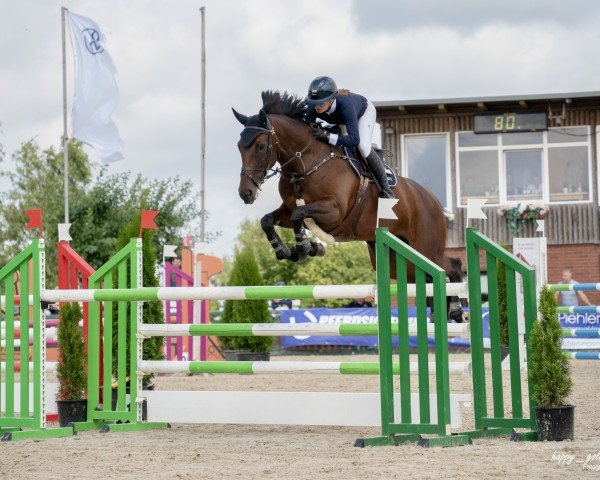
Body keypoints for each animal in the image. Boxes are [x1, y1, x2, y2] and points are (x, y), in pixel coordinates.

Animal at [232, 91, 462, 320]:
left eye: (261, 146)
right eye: (239, 147)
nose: (246, 193)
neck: (305, 163)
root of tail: (433, 200)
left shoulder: (334, 211)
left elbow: (299, 213)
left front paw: (305, 247)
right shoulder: (287, 212)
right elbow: (268, 220)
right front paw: (286, 251)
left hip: (425, 248)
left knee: (451, 266)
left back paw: (456, 309)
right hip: (401, 260)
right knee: (431, 276)